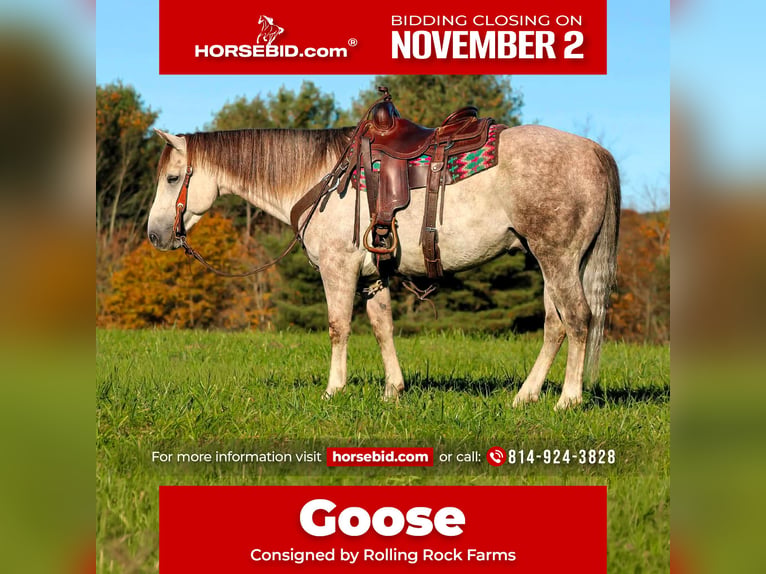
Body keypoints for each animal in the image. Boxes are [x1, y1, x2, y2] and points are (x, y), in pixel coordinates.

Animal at [148, 124, 620, 410]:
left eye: (172, 179)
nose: (154, 235)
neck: (322, 179)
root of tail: (594, 151)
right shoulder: (374, 276)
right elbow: (382, 327)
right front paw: (394, 390)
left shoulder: (338, 269)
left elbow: (338, 327)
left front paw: (333, 390)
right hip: (551, 261)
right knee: (555, 326)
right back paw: (526, 395)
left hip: (558, 259)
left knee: (578, 320)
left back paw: (568, 399)